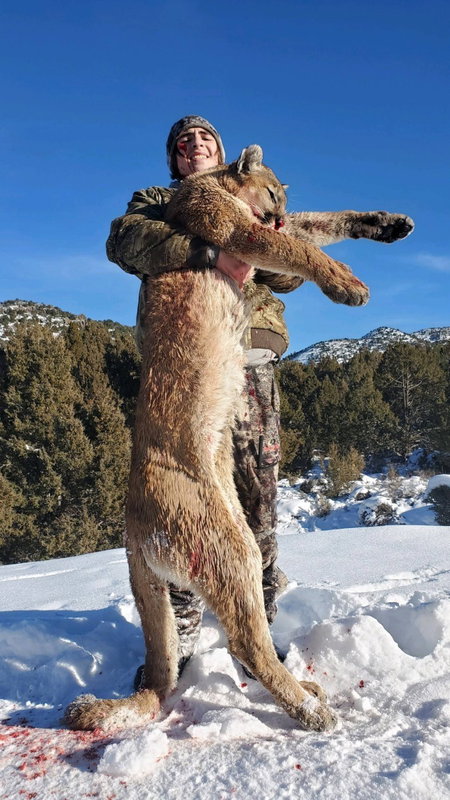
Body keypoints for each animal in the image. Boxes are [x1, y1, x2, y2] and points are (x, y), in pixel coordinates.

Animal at [64, 146, 413, 733]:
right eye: (272, 192)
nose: (276, 213)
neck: (211, 184)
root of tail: (130, 527)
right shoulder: (234, 229)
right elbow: (297, 247)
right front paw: (350, 285)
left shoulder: (262, 230)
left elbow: (320, 225)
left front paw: (388, 224)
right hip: (227, 548)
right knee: (245, 640)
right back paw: (311, 710)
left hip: (237, 531)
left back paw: (304, 691)